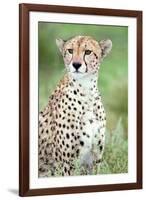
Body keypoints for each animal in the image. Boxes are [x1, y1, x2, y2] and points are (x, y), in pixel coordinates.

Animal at [38, 35, 112, 177]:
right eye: (70, 50)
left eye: (87, 52)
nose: (76, 64)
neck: (86, 91)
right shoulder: (67, 163)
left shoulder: (95, 158)